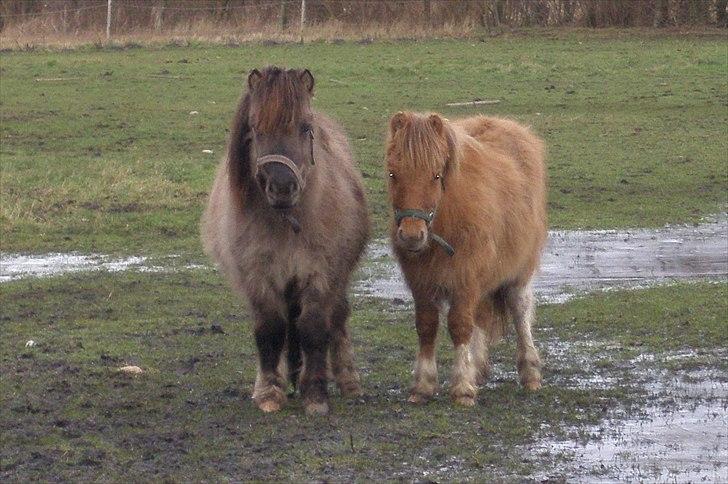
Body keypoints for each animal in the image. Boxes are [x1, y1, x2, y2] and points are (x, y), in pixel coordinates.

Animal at [200, 65, 366, 416]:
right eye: (254, 128)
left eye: (305, 127)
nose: (281, 187)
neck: (286, 222)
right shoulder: (258, 276)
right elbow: (270, 329)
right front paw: (268, 392)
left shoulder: (320, 275)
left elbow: (314, 329)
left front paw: (315, 395)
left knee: (338, 318)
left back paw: (347, 381)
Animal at [386, 111, 544, 406]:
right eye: (393, 174)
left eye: (436, 176)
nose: (412, 236)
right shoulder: (422, 284)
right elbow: (427, 326)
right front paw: (423, 386)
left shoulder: (465, 280)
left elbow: (460, 326)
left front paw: (461, 388)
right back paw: (478, 369)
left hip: (518, 272)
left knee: (519, 310)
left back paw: (530, 373)